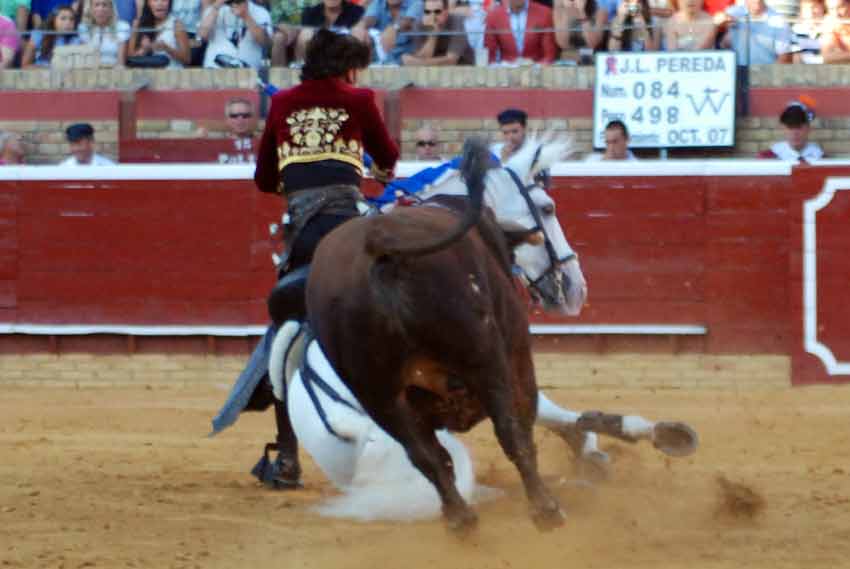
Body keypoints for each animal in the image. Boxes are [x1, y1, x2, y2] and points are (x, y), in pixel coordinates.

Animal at [266, 138, 696, 520]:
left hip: (391, 410)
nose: (576, 288)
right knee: (491, 448)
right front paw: (647, 438)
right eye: (548, 207)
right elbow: (538, 416)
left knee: (436, 467)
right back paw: (543, 505)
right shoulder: (506, 360)